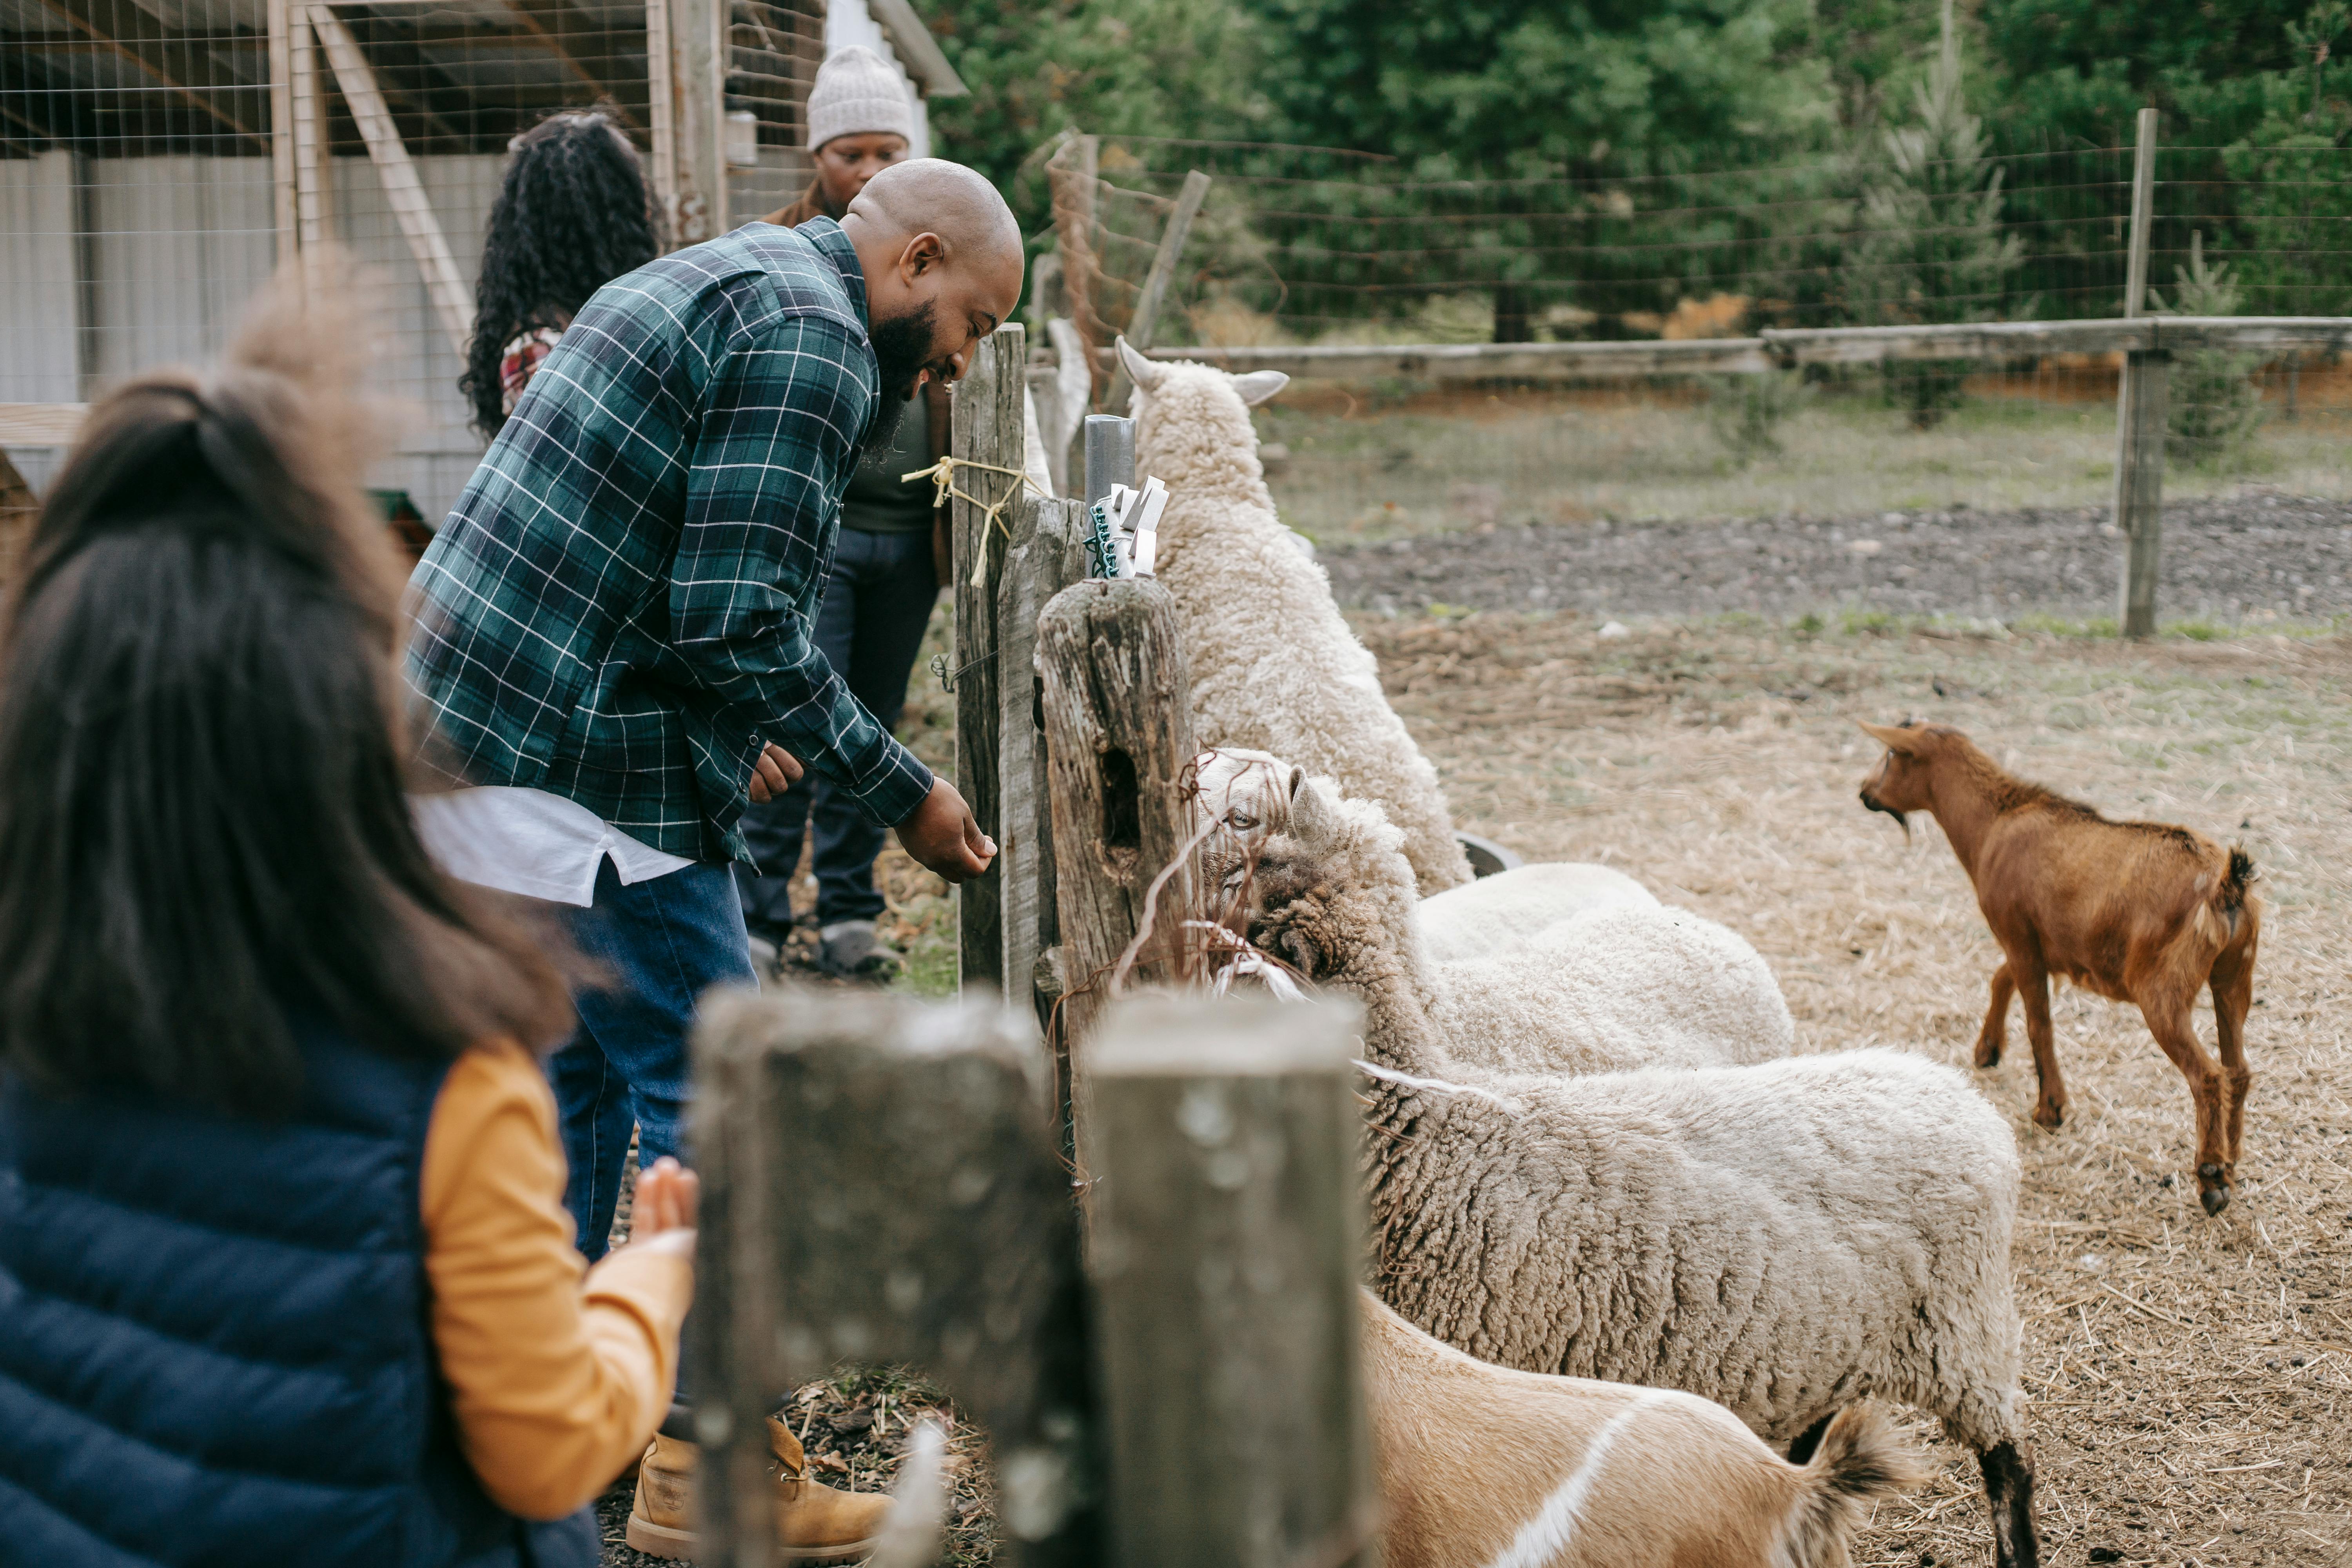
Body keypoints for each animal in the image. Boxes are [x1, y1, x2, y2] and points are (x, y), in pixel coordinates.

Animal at [1853, 724, 2258, 1213]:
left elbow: (2038, 1023)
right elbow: (2001, 978)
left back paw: (2212, 1177)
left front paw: (2050, 1109)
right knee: (2238, 1070)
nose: (1864, 792)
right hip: (2235, 975)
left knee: (2208, 1075)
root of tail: (2226, 884)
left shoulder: (2017, 934)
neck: (1995, 821)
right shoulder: (2032, 942)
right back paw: (2232, 1163)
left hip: (2163, 987)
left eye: (1892, 755)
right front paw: (1988, 1050)